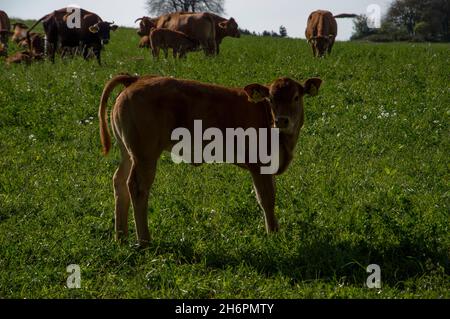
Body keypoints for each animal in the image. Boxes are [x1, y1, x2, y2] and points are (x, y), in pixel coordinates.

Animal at [99, 74, 324, 248]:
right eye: (271, 99)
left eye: (296, 97)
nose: (282, 120)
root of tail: (136, 79)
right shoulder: (258, 165)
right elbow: (266, 199)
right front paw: (273, 235)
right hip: (144, 155)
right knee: (137, 187)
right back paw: (144, 241)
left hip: (128, 153)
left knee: (119, 182)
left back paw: (121, 236)